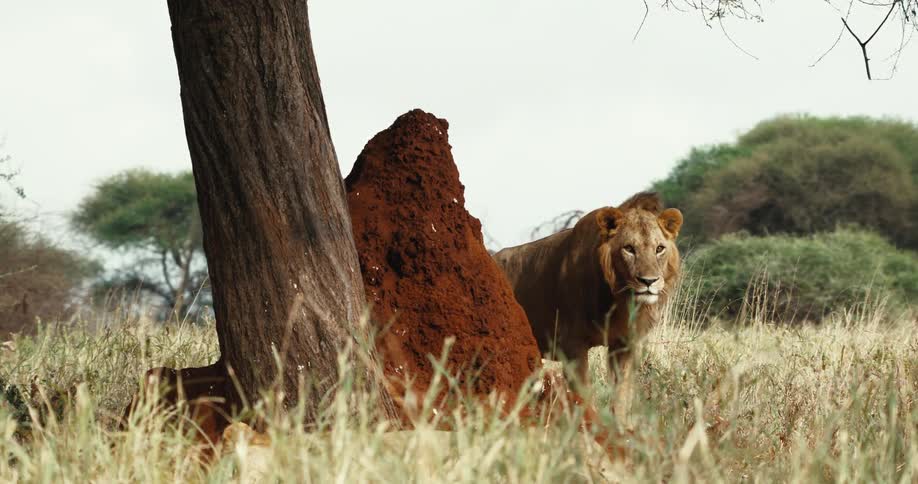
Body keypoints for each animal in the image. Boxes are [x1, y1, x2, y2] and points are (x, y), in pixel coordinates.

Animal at [493, 192, 682, 411]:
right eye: (628, 248)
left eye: (659, 248)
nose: (649, 281)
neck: (618, 300)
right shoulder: (573, 345)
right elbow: (583, 396)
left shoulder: (625, 345)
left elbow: (621, 397)